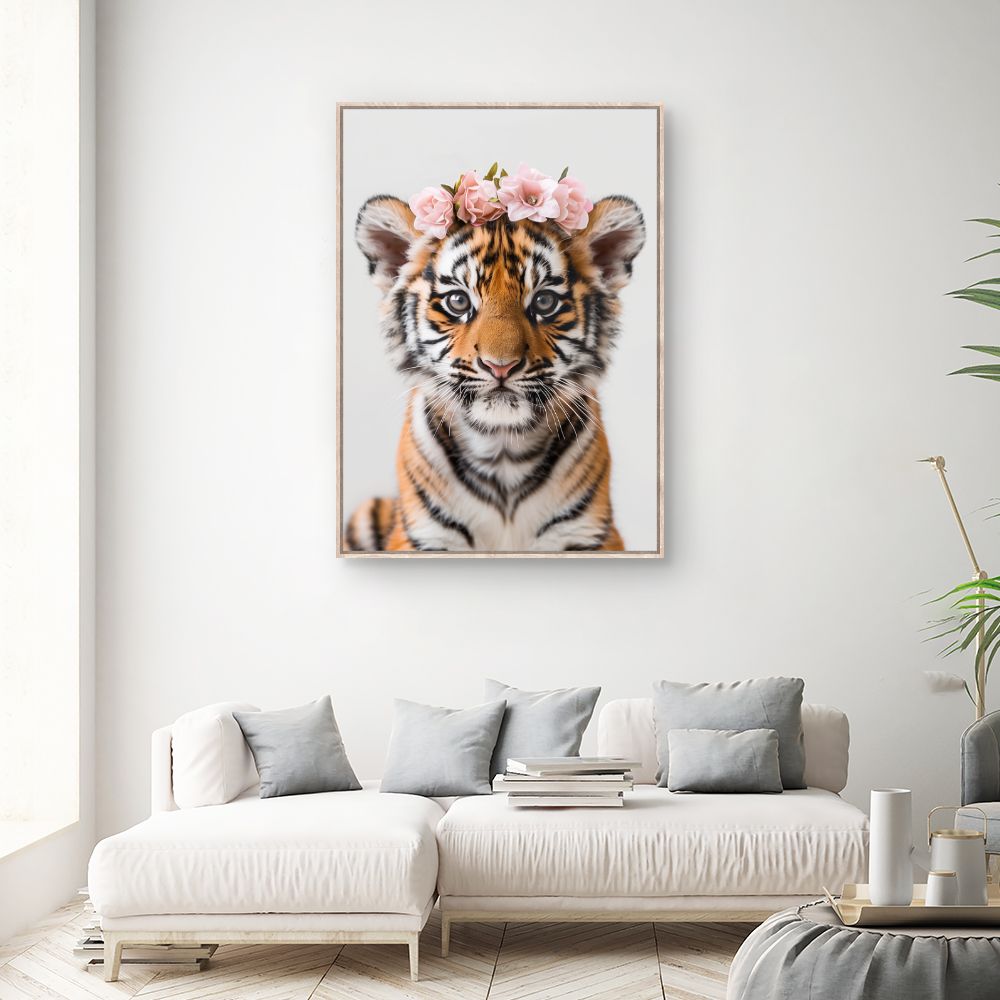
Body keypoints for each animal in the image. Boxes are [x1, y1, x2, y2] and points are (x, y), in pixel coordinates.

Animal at [344, 192, 646, 553]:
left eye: (544, 302)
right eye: (458, 301)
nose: (500, 365)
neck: (503, 452)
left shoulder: (587, 535)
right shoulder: (423, 537)